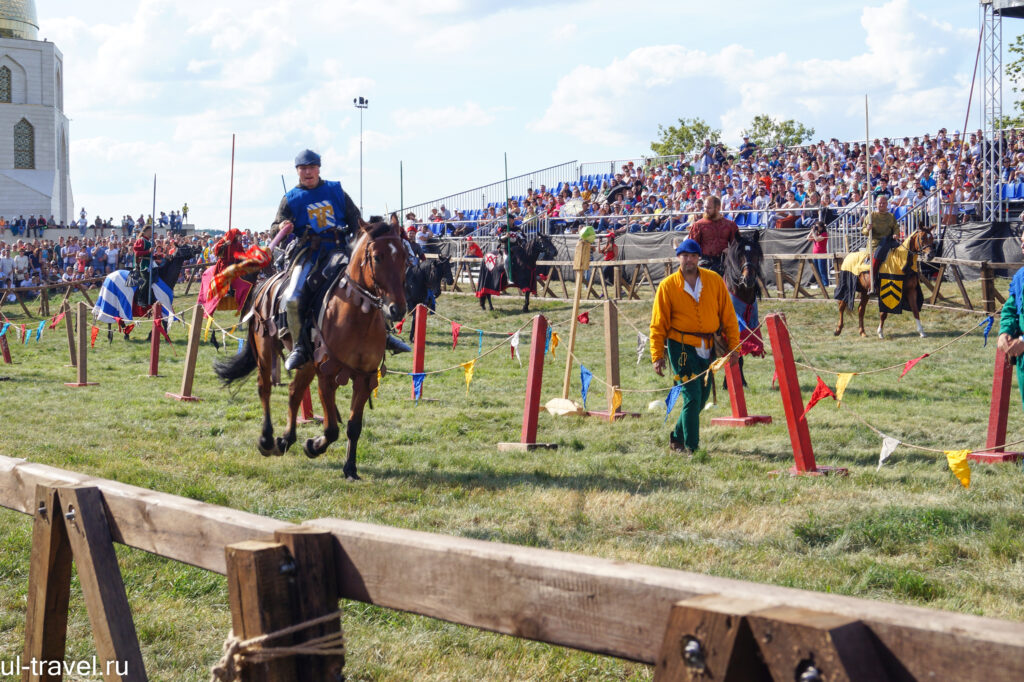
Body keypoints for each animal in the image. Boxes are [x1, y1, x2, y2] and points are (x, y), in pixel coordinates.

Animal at [214, 218, 405, 477]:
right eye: (377, 257)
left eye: (404, 255)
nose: (397, 309)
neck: (357, 317)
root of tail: (265, 283)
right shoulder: (327, 374)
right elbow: (332, 428)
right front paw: (313, 446)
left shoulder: (365, 377)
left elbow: (353, 426)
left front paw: (350, 468)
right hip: (265, 348)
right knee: (265, 388)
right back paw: (267, 440)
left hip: (307, 362)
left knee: (294, 391)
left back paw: (285, 440)